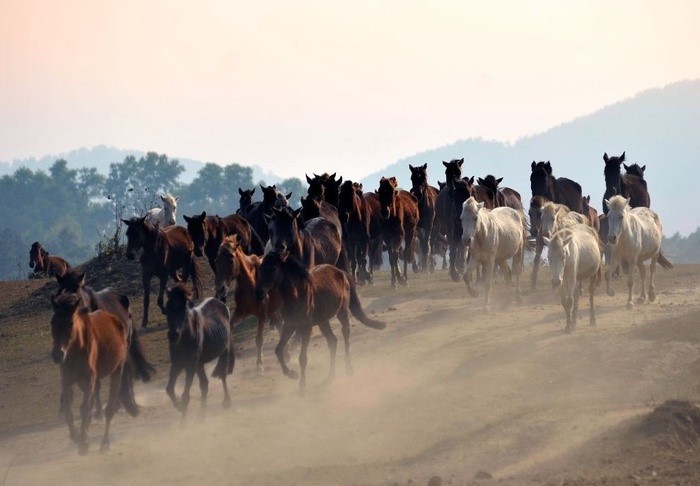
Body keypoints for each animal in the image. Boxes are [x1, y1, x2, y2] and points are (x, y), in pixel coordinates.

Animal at [49, 292, 142, 456]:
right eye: (51, 323)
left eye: (70, 323)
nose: (57, 355)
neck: (76, 350)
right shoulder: (67, 381)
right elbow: (68, 411)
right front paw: (76, 436)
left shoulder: (88, 381)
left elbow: (84, 409)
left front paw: (83, 443)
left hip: (116, 372)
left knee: (109, 409)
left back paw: (104, 443)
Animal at [163, 284, 234, 418]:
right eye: (167, 308)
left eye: (183, 309)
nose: (173, 335)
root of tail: (219, 300)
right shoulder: (177, 363)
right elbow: (169, 388)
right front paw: (178, 406)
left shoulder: (190, 365)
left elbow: (185, 396)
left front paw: (183, 418)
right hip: (199, 364)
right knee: (204, 384)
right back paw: (201, 414)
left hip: (224, 351)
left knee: (222, 374)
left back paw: (226, 402)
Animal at [213, 235, 282, 368]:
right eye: (217, 261)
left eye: (231, 259)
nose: (220, 289)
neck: (250, 283)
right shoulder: (240, 312)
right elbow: (230, 328)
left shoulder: (262, 314)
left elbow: (259, 339)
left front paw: (259, 364)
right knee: (280, 322)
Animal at [253, 251, 386, 392]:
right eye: (260, 268)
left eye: (273, 268)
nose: (258, 293)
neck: (296, 294)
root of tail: (341, 272)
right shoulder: (290, 325)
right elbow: (278, 350)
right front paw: (292, 374)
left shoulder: (306, 328)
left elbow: (302, 358)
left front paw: (302, 386)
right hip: (323, 320)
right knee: (332, 341)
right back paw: (330, 376)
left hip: (342, 311)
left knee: (345, 332)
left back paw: (348, 368)